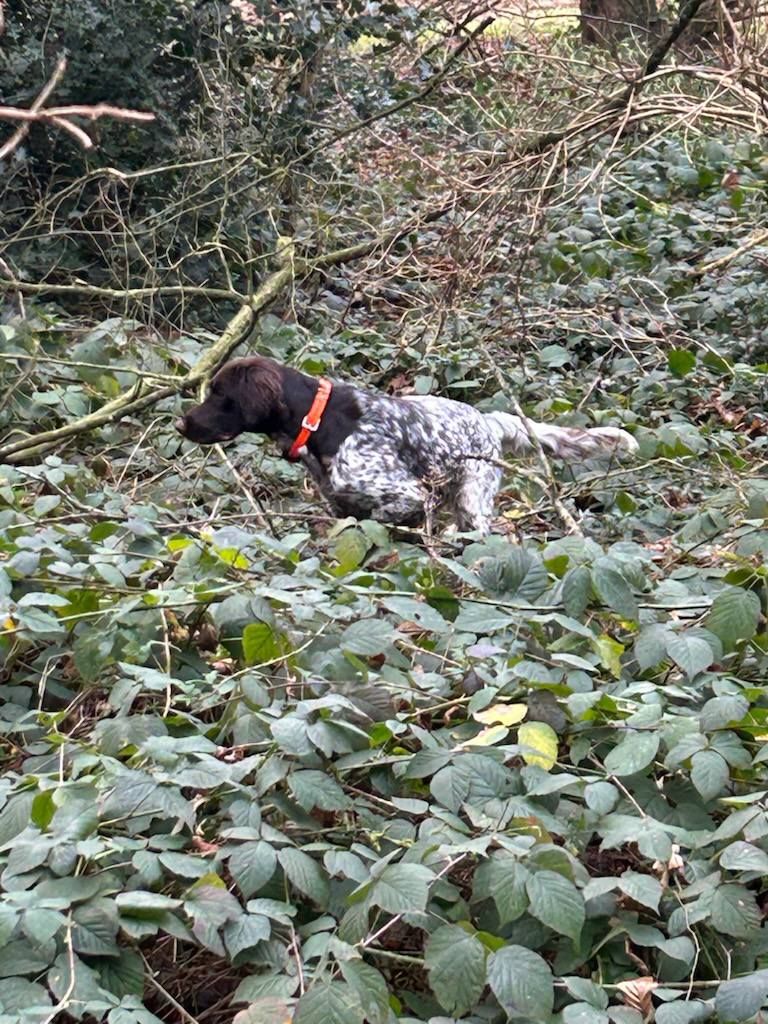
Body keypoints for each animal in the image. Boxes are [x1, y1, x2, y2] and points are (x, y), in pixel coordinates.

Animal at [177, 356, 638, 536]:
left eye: (220, 394)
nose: (181, 422)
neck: (319, 420)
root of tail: (488, 418)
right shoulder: (341, 504)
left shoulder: (409, 495)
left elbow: (388, 520)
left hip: (473, 496)